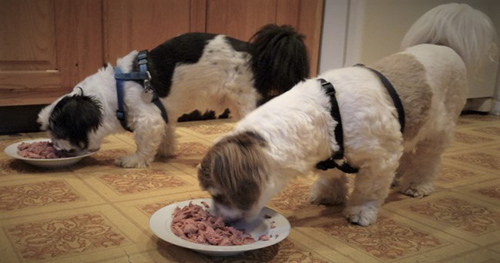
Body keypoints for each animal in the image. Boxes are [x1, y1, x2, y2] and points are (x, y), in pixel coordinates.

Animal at [197, 3, 498, 227]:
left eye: (219, 194)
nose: (218, 219)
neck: (328, 112)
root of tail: (444, 46)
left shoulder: (380, 159)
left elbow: (368, 189)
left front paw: (360, 211)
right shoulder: (330, 156)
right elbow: (332, 176)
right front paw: (328, 194)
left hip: (439, 128)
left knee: (427, 159)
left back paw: (417, 184)